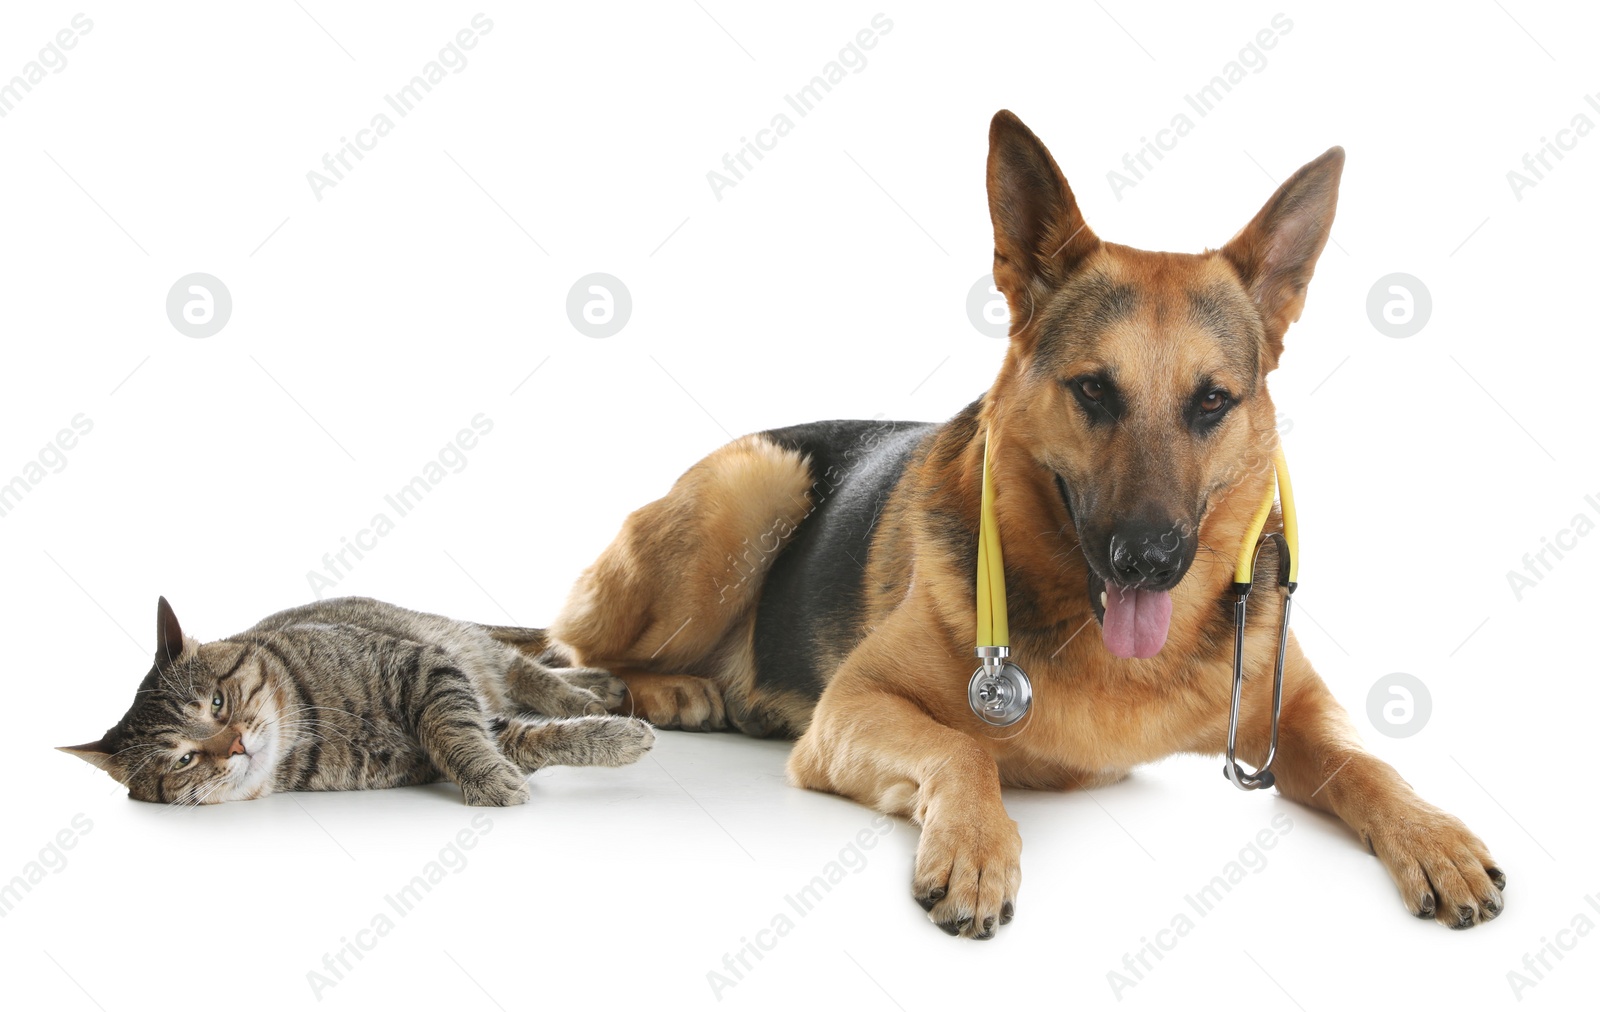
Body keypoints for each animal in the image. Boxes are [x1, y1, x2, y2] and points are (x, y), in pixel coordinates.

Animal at [59, 592, 652, 807]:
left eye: (218, 704)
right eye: (183, 759)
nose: (235, 746)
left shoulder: (424, 667)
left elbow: (452, 729)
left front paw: (610, 730)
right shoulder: (464, 727)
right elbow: (519, 740)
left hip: (463, 644)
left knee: (527, 669)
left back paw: (589, 691)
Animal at [544, 112, 1504, 941]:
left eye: (1212, 402)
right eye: (1093, 390)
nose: (1148, 560)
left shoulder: (1294, 710)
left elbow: (1367, 761)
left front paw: (1434, 835)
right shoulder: (851, 708)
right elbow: (962, 752)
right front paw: (975, 848)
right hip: (754, 488)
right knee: (575, 644)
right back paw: (668, 688)